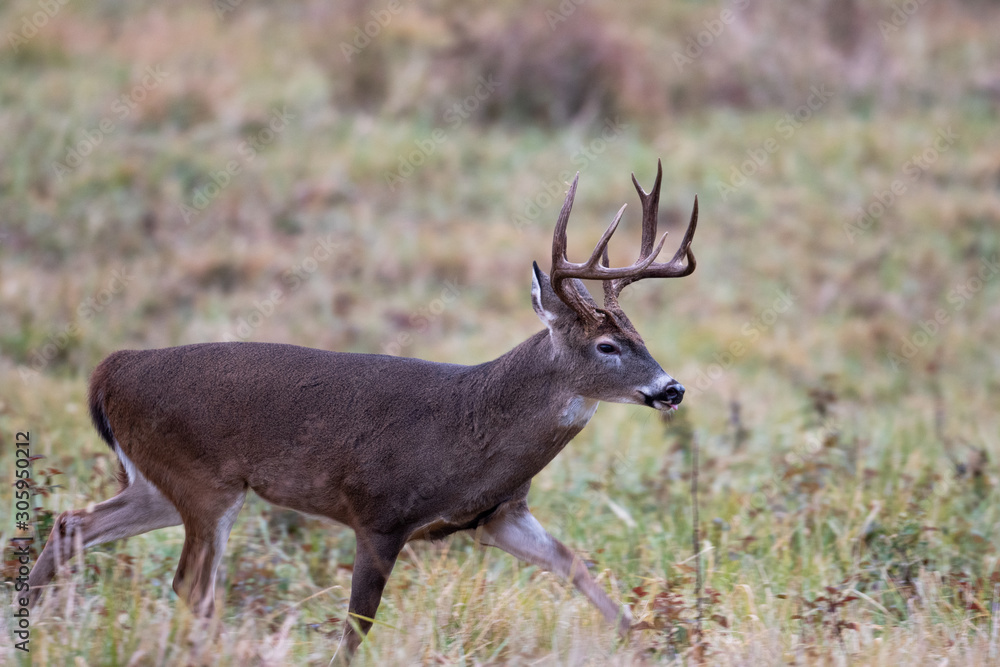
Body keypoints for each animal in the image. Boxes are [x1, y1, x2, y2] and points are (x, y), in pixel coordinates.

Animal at [27, 160, 698, 661]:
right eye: (607, 346)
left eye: (639, 334)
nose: (672, 389)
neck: (475, 426)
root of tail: (109, 371)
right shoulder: (380, 513)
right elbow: (356, 628)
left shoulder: (499, 513)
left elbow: (574, 563)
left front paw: (645, 642)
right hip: (202, 481)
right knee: (191, 584)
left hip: (158, 482)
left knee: (71, 525)